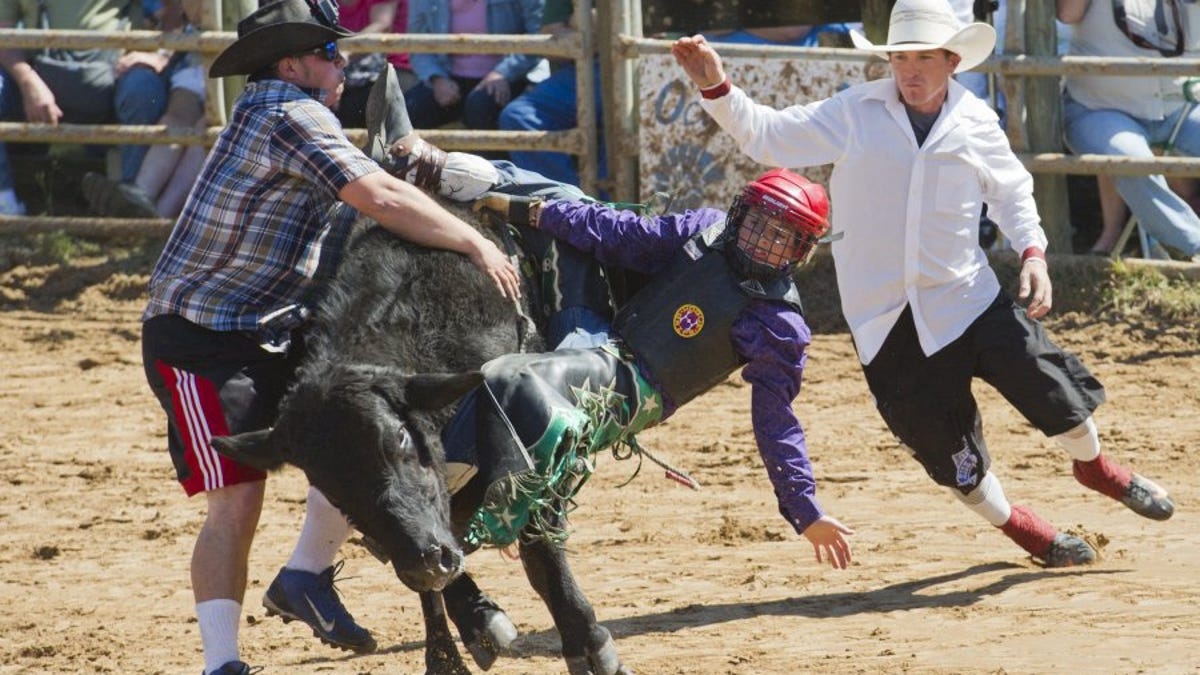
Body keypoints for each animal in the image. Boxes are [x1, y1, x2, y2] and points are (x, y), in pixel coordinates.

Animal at [212, 204, 633, 672]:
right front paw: (459, 638)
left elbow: (541, 552)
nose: (426, 563)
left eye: (399, 439)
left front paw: (587, 642)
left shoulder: (536, 455)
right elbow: (430, 577)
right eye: (328, 486)